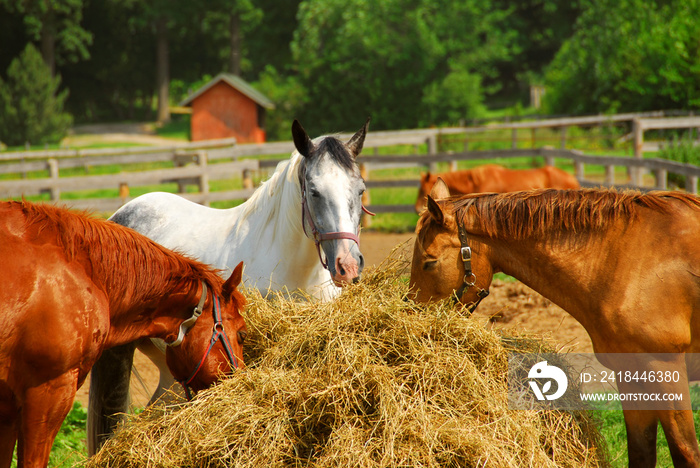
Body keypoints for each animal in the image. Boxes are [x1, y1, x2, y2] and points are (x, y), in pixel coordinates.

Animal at [88, 119, 372, 454]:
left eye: (360, 189)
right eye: (314, 192)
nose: (348, 265)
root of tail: (121, 215)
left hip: (170, 365)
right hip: (120, 354)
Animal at [408, 180, 700, 468]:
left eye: (429, 263)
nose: (413, 314)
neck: (624, 258)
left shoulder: (665, 370)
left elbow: (686, 452)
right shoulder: (631, 376)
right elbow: (641, 453)